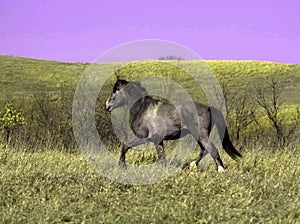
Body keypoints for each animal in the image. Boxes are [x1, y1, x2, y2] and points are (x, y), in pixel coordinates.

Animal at [105, 79, 241, 172]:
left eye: (115, 91)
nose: (106, 106)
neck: (142, 109)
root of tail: (208, 108)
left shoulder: (143, 137)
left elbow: (125, 146)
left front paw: (122, 165)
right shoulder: (158, 140)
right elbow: (162, 158)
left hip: (201, 134)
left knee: (212, 150)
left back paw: (220, 170)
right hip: (198, 135)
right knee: (204, 149)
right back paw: (193, 165)